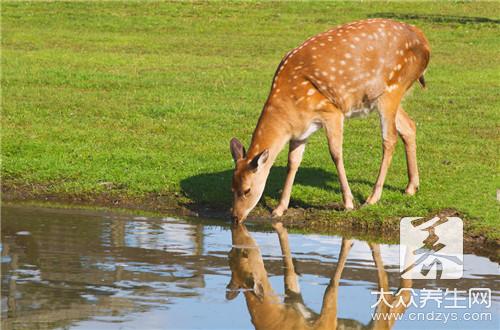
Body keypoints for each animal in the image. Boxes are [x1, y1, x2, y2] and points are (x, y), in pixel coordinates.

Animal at [228, 223, 414, 328]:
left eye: (244, 254)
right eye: (229, 255)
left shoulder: (326, 320)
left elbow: (330, 288)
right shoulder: (295, 301)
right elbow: (290, 274)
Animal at [229, 18, 430, 224]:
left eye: (247, 190)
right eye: (232, 187)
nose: (235, 216)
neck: (290, 108)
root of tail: (423, 39)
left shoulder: (332, 112)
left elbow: (336, 153)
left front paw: (348, 203)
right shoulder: (301, 131)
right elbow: (293, 162)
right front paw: (279, 209)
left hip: (392, 89)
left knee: (389, 139)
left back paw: (372, 198)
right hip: (384, 97)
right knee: (409, 126)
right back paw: (411, 187)